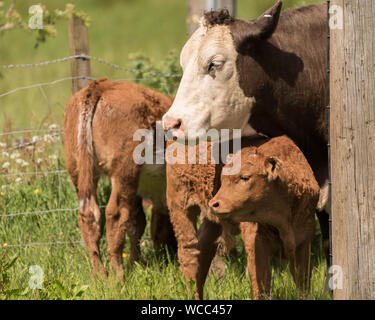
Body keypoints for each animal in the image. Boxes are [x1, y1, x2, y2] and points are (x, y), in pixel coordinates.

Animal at [209, 136, 320, 298]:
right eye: (223, 179)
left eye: (245, 177)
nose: (214, 204)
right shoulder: (257, 243)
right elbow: (262, 281)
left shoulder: (304, 243)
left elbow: (302, 279)